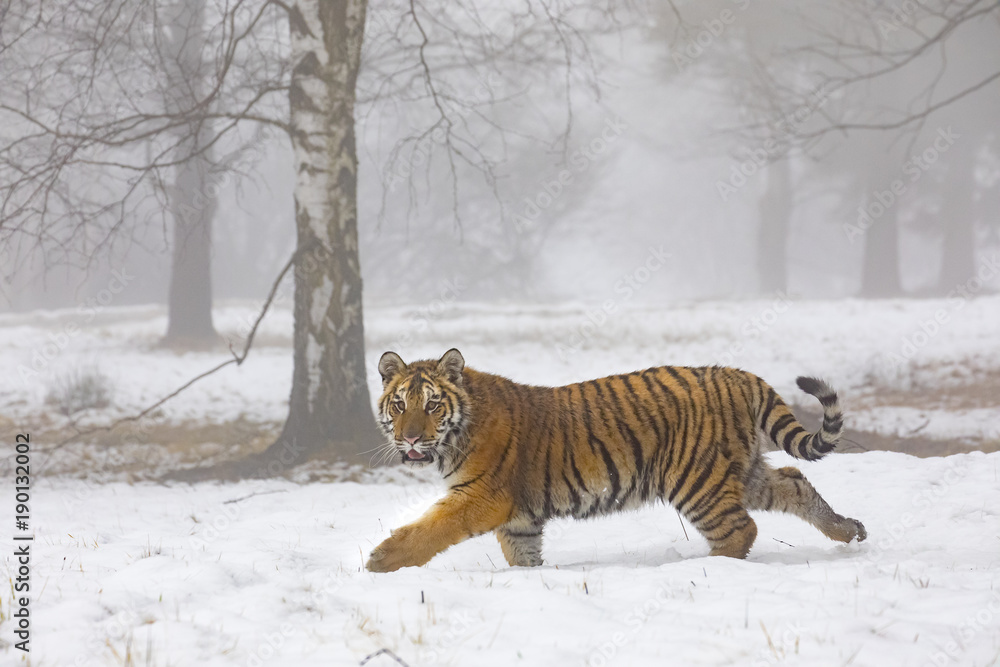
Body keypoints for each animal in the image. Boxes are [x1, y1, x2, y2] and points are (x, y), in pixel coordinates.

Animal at [365, 348, 866, 572]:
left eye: (432, 405)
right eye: (400, 405)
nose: (411, 438)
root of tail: (738, 375)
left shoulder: (482, 495)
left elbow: (431, 528)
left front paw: (381, 560)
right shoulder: (519, 517)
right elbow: (522, 554)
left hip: (696, 479)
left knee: (740, 529)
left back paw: (706, 569)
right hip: (741, 472)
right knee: (794, 481)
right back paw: (848, 529)